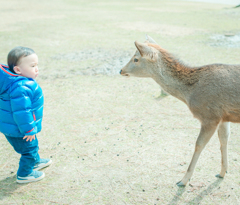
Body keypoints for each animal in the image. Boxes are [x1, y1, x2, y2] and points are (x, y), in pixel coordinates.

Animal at [120, 34, 240, 186]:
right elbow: (224, 140)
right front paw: (222, 173)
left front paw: (183, 180)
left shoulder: (210, 116)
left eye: (136, 58)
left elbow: (199, 144)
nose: (120, 70)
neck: (190, 94)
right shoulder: (224, 116)